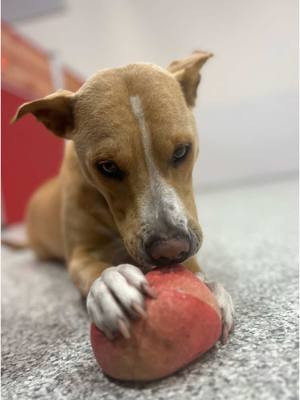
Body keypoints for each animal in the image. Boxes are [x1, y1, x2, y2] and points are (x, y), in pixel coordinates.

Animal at [12, 50, 233, 340]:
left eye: (182, 151)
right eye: (107, 167)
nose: (170, 250)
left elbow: (195, 267)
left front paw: (209, 285)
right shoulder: (80, 252)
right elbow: (91, 267)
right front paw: (112, 282)